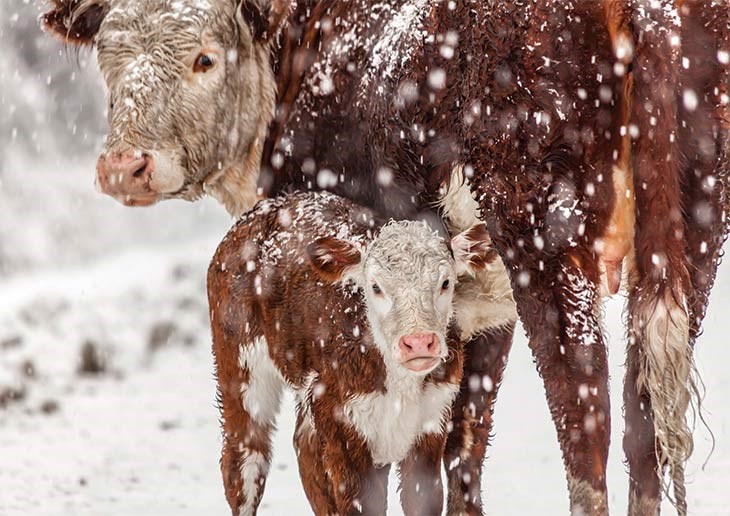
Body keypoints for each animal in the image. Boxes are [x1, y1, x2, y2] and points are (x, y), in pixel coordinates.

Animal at [205, 191, 490, 512]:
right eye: (376, 287)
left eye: (445, 282)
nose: (418, 342)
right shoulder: (343, 426)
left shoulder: (432, 420)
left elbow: (421, 498)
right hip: (239, 364)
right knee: (245, 459)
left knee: (305, 451)